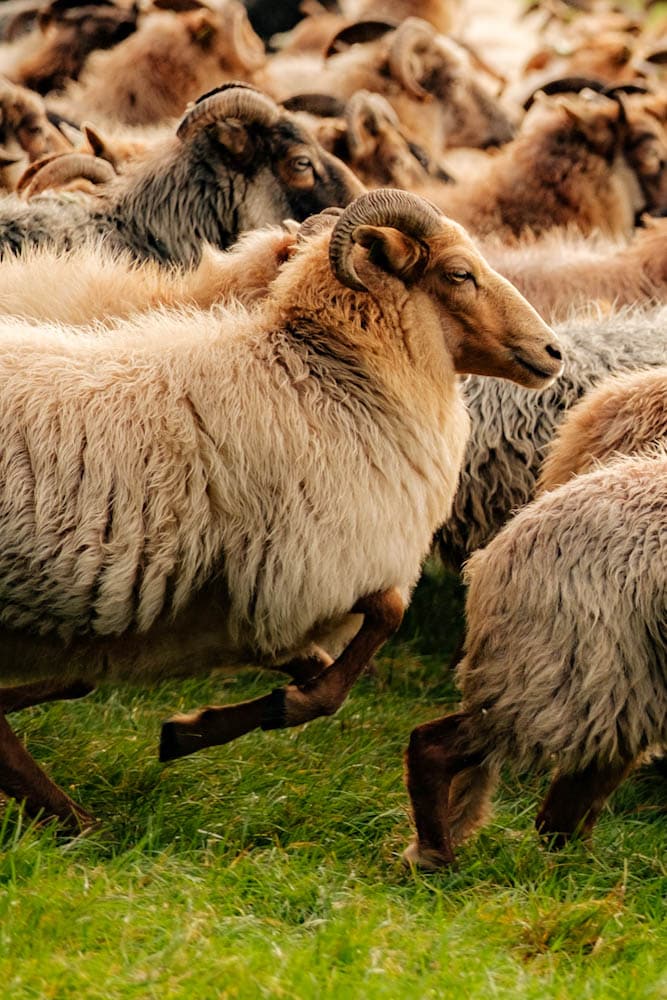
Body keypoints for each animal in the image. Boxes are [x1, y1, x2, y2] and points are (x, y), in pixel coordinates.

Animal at [0, 191, 564, 832]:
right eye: (459, 273)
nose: (554, 351)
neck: (325, 372)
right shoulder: (300, 566)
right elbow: (375, 630)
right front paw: (252, 715)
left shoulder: (232, 599)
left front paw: (195, 727)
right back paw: (74, 819)